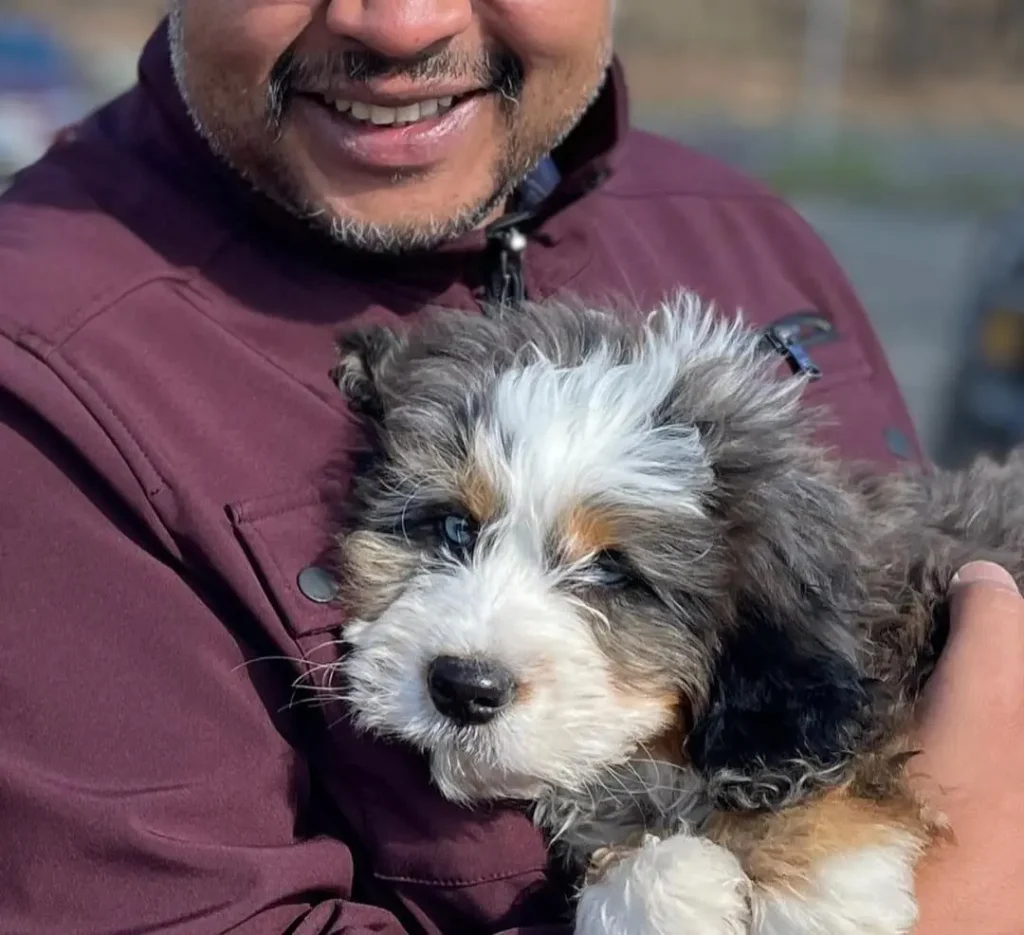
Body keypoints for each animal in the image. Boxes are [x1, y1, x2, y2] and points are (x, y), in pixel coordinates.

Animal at [327, 292, 1024, 933]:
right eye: (454, 527)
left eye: (613, 569)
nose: (464, 686)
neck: (660, 758)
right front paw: (662, 889)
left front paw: (812, 885)